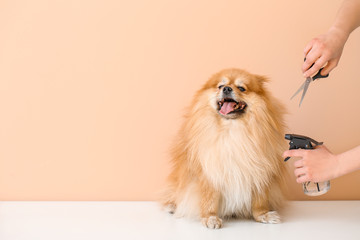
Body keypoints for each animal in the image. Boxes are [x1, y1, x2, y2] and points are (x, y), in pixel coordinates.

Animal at [160, 68, 286, 229]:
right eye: (220, 86)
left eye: (241, 88)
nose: (226, 89)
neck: (232, 129)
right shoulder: (209, 172)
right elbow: (209, 198)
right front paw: (210, 217)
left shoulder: (260, 171)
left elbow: (260, 199)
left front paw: (263, 214)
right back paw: (172, 206)